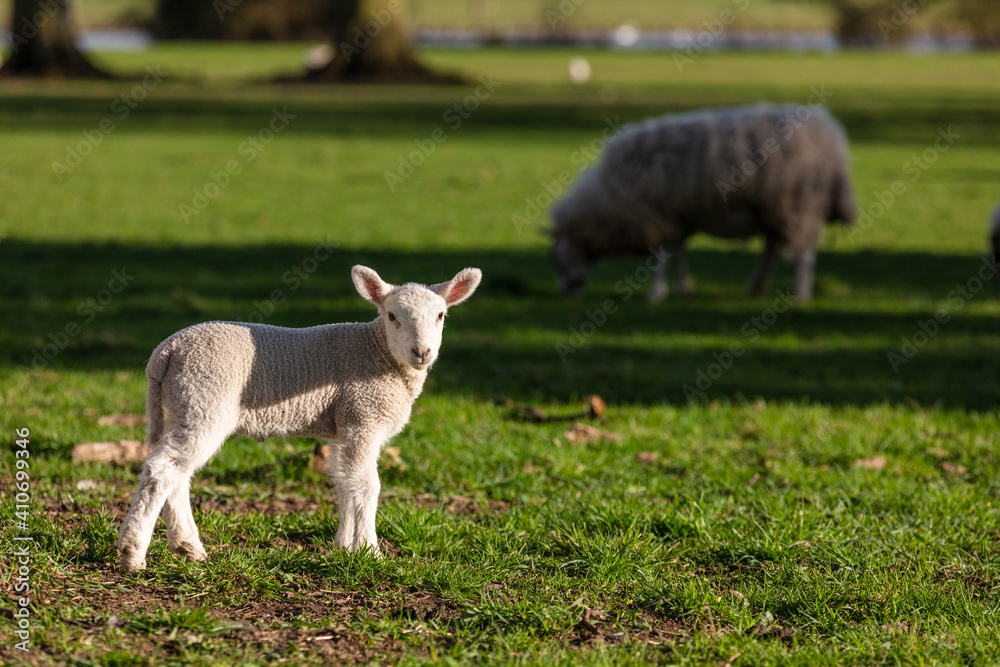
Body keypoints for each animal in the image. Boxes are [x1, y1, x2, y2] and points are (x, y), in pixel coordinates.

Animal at [117, 264, 484, 572]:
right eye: (392, 315)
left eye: (440, 315)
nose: (422, 352)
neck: (377, 350)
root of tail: (165, 351)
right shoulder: (363, 417)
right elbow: (368, 485)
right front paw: (370, 551)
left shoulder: (344, 426)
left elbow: (344, 482)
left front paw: (344, 547)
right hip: (204, 399)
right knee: (162, 469)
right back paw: (133, 553)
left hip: (184, 405)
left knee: (177, 472)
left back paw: (188, 547)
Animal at [552, 103, 856, 302]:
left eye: (557, 260)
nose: (569, 294)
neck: (608, 199)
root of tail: (833, 138)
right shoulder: (676, 218)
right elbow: (678, 253)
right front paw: (684, 289)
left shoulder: (657, 215)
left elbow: (662, 257)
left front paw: (656, 294)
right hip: (775, 209)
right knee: (772, 250)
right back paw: (756, 288)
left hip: (798, 203)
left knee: (804, 252)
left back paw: (800, 295)